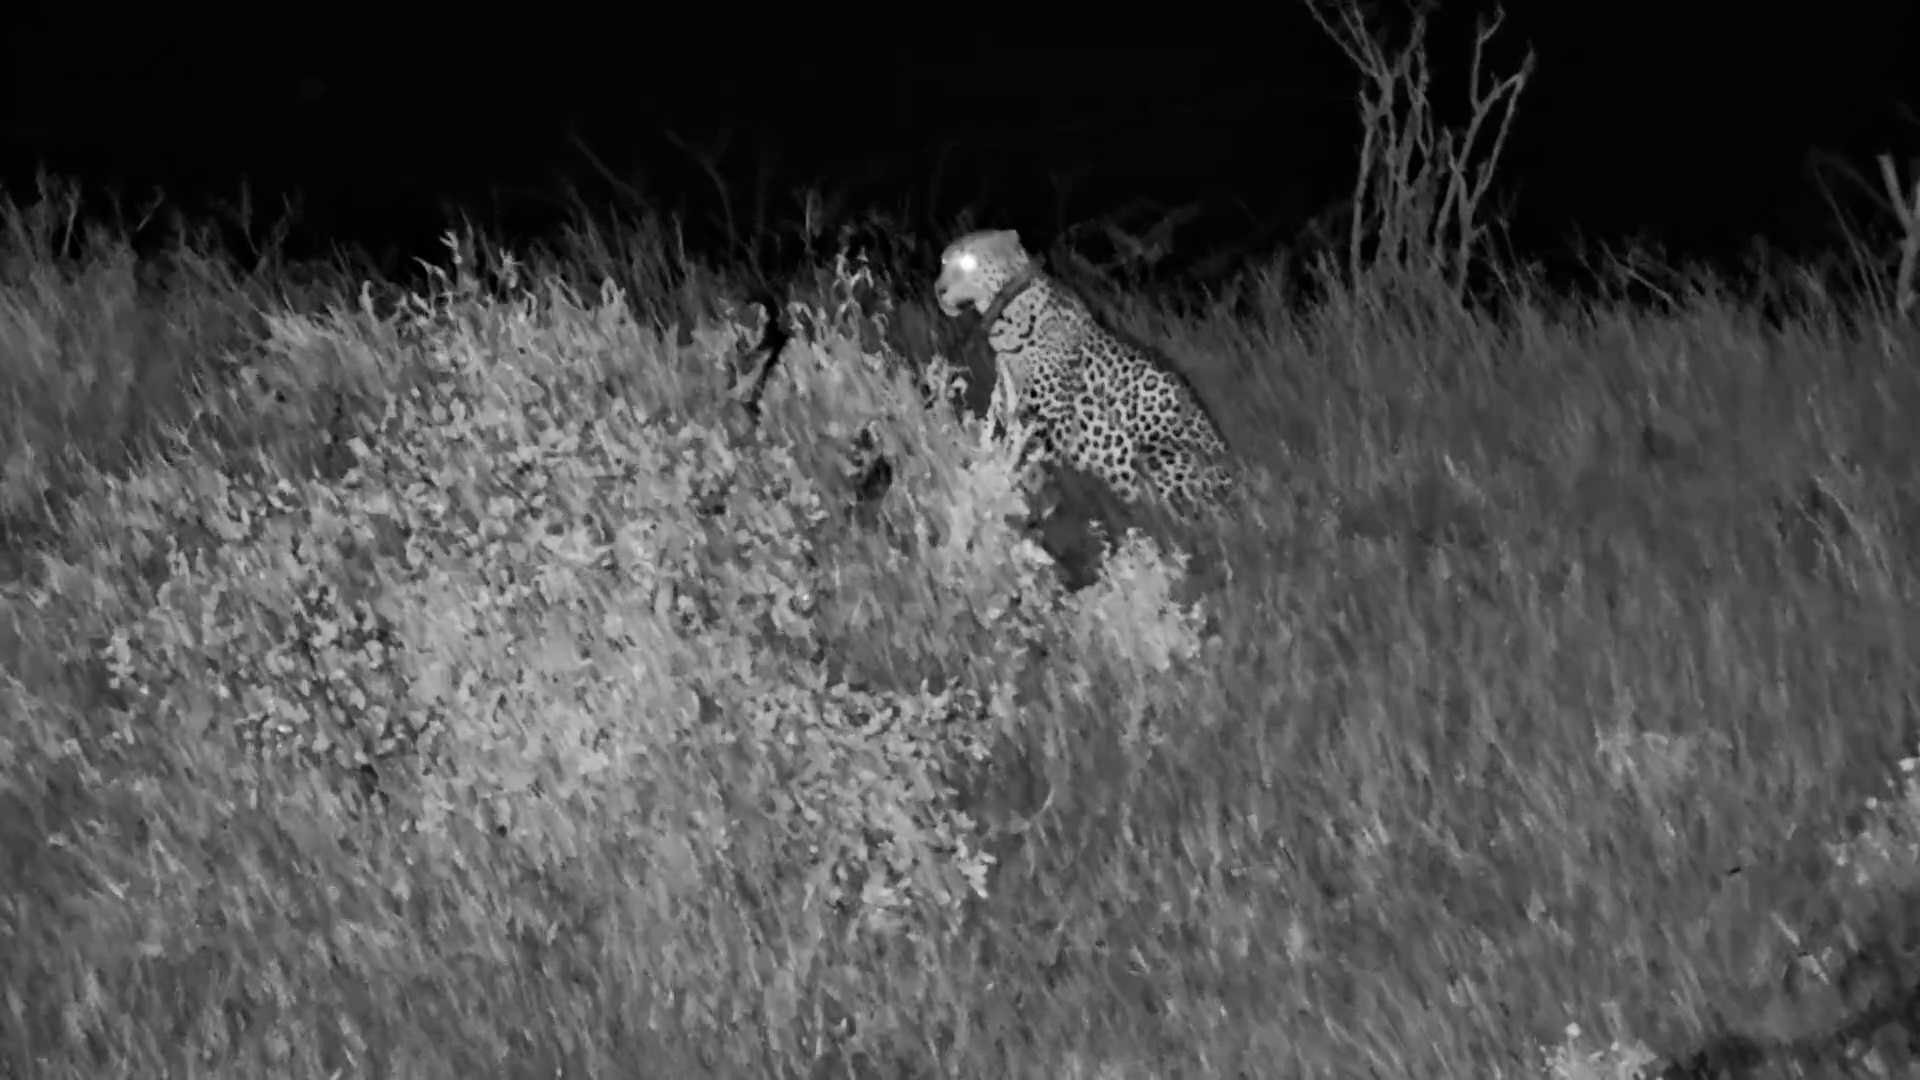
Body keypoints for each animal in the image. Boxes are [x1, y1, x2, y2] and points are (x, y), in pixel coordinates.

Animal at [935, 228, 1234, 512]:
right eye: (943, 263)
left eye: (968, 262)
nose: (938, 290)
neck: (1005, 317)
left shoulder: (1048, 420)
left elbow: (1027, 466)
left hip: (1159, 452)